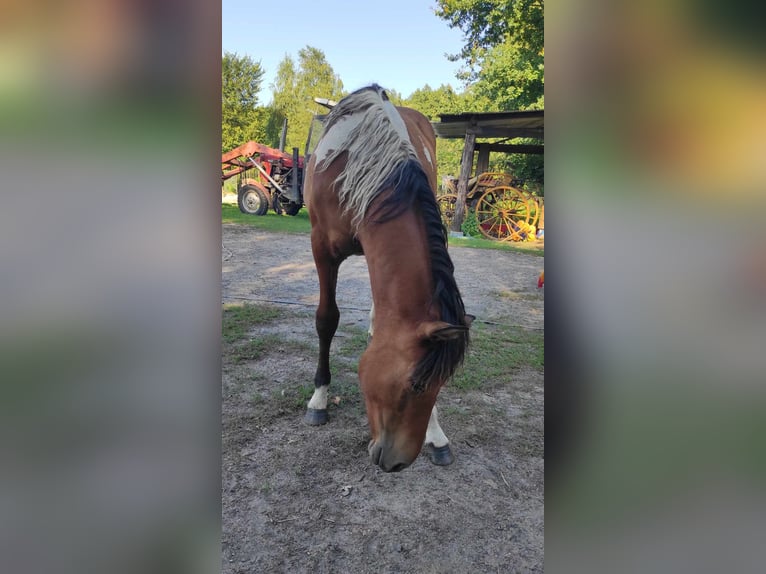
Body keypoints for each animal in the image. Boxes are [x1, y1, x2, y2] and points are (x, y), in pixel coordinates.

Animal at [304, 84, 474, 472]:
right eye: (415, 385)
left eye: (441, 384)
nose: (399, 463)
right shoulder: (321, 248)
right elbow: (326, 319)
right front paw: (319, 398)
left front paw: (437, 435)